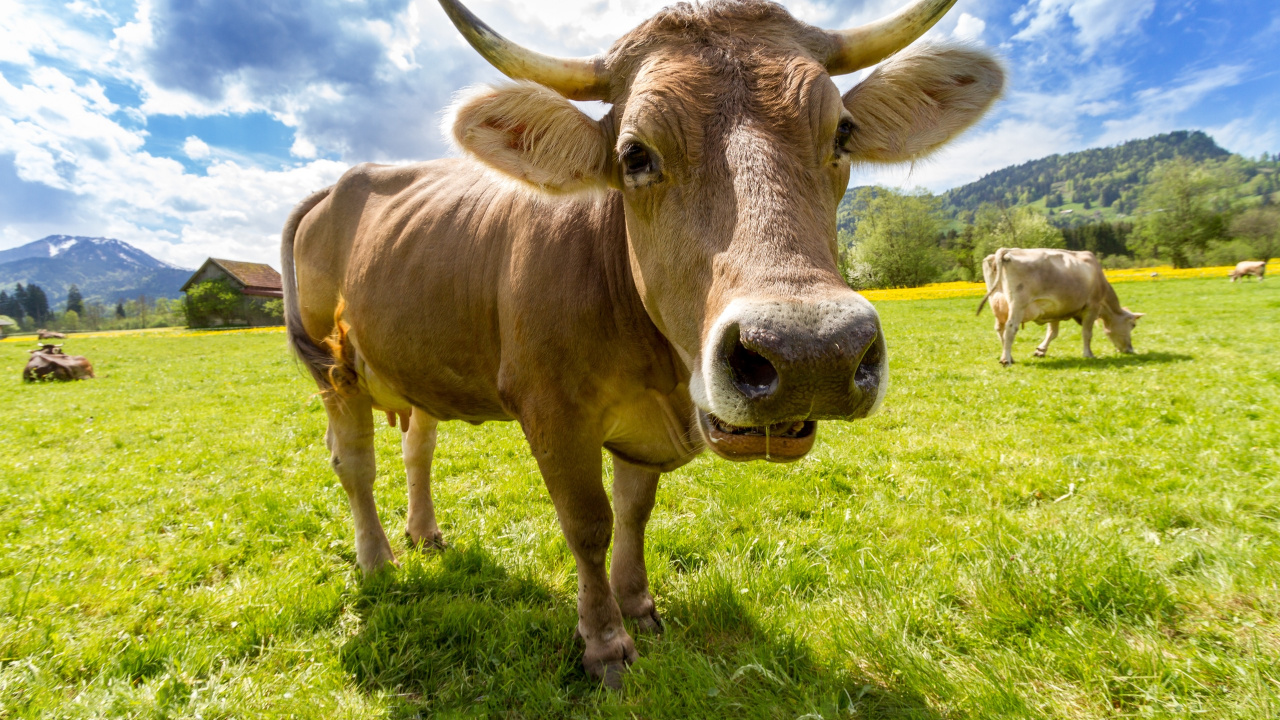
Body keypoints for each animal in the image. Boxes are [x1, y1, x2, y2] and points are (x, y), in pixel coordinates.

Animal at [283, 0, 1003, 684]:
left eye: (843, 133)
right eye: (635, 155)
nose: (810, 354)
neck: (659, 370)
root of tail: (341, 182)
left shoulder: (642, 430)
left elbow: (634, 513)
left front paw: (640, 608)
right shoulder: (552, 412)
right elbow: (589, 524)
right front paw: (605, 643)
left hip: (413, 363)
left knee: (418, 449)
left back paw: (426, 534)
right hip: (335, 370)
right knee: (354, 464)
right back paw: (378, 560)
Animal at [978, 248, 1144, 365]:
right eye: (1133, 325)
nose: (1130, 350)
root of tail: (1007, 250)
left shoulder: (1054, 309)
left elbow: (1053, 333)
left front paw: (1041, 350)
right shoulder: (1092, 306)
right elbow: (1087, 333)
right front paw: (1088, 354)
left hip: (998, 303)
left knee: (1000, 329)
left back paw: (1009, 357)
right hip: (1017, 305)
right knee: (1011, 328)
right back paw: (1006, 359)